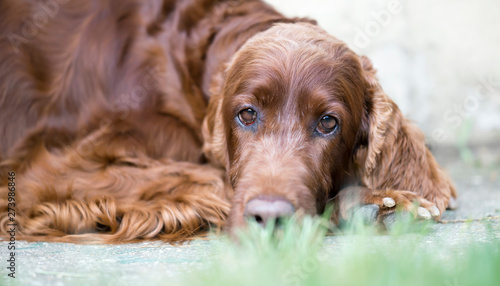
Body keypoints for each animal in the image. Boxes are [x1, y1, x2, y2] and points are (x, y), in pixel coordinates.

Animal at [0, 0, 456, 242]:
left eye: (328, 123)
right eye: (247, 114)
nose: (270, 218)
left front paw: (376, 202)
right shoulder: (45, 171)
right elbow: (209, 179)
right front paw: (369, 202)